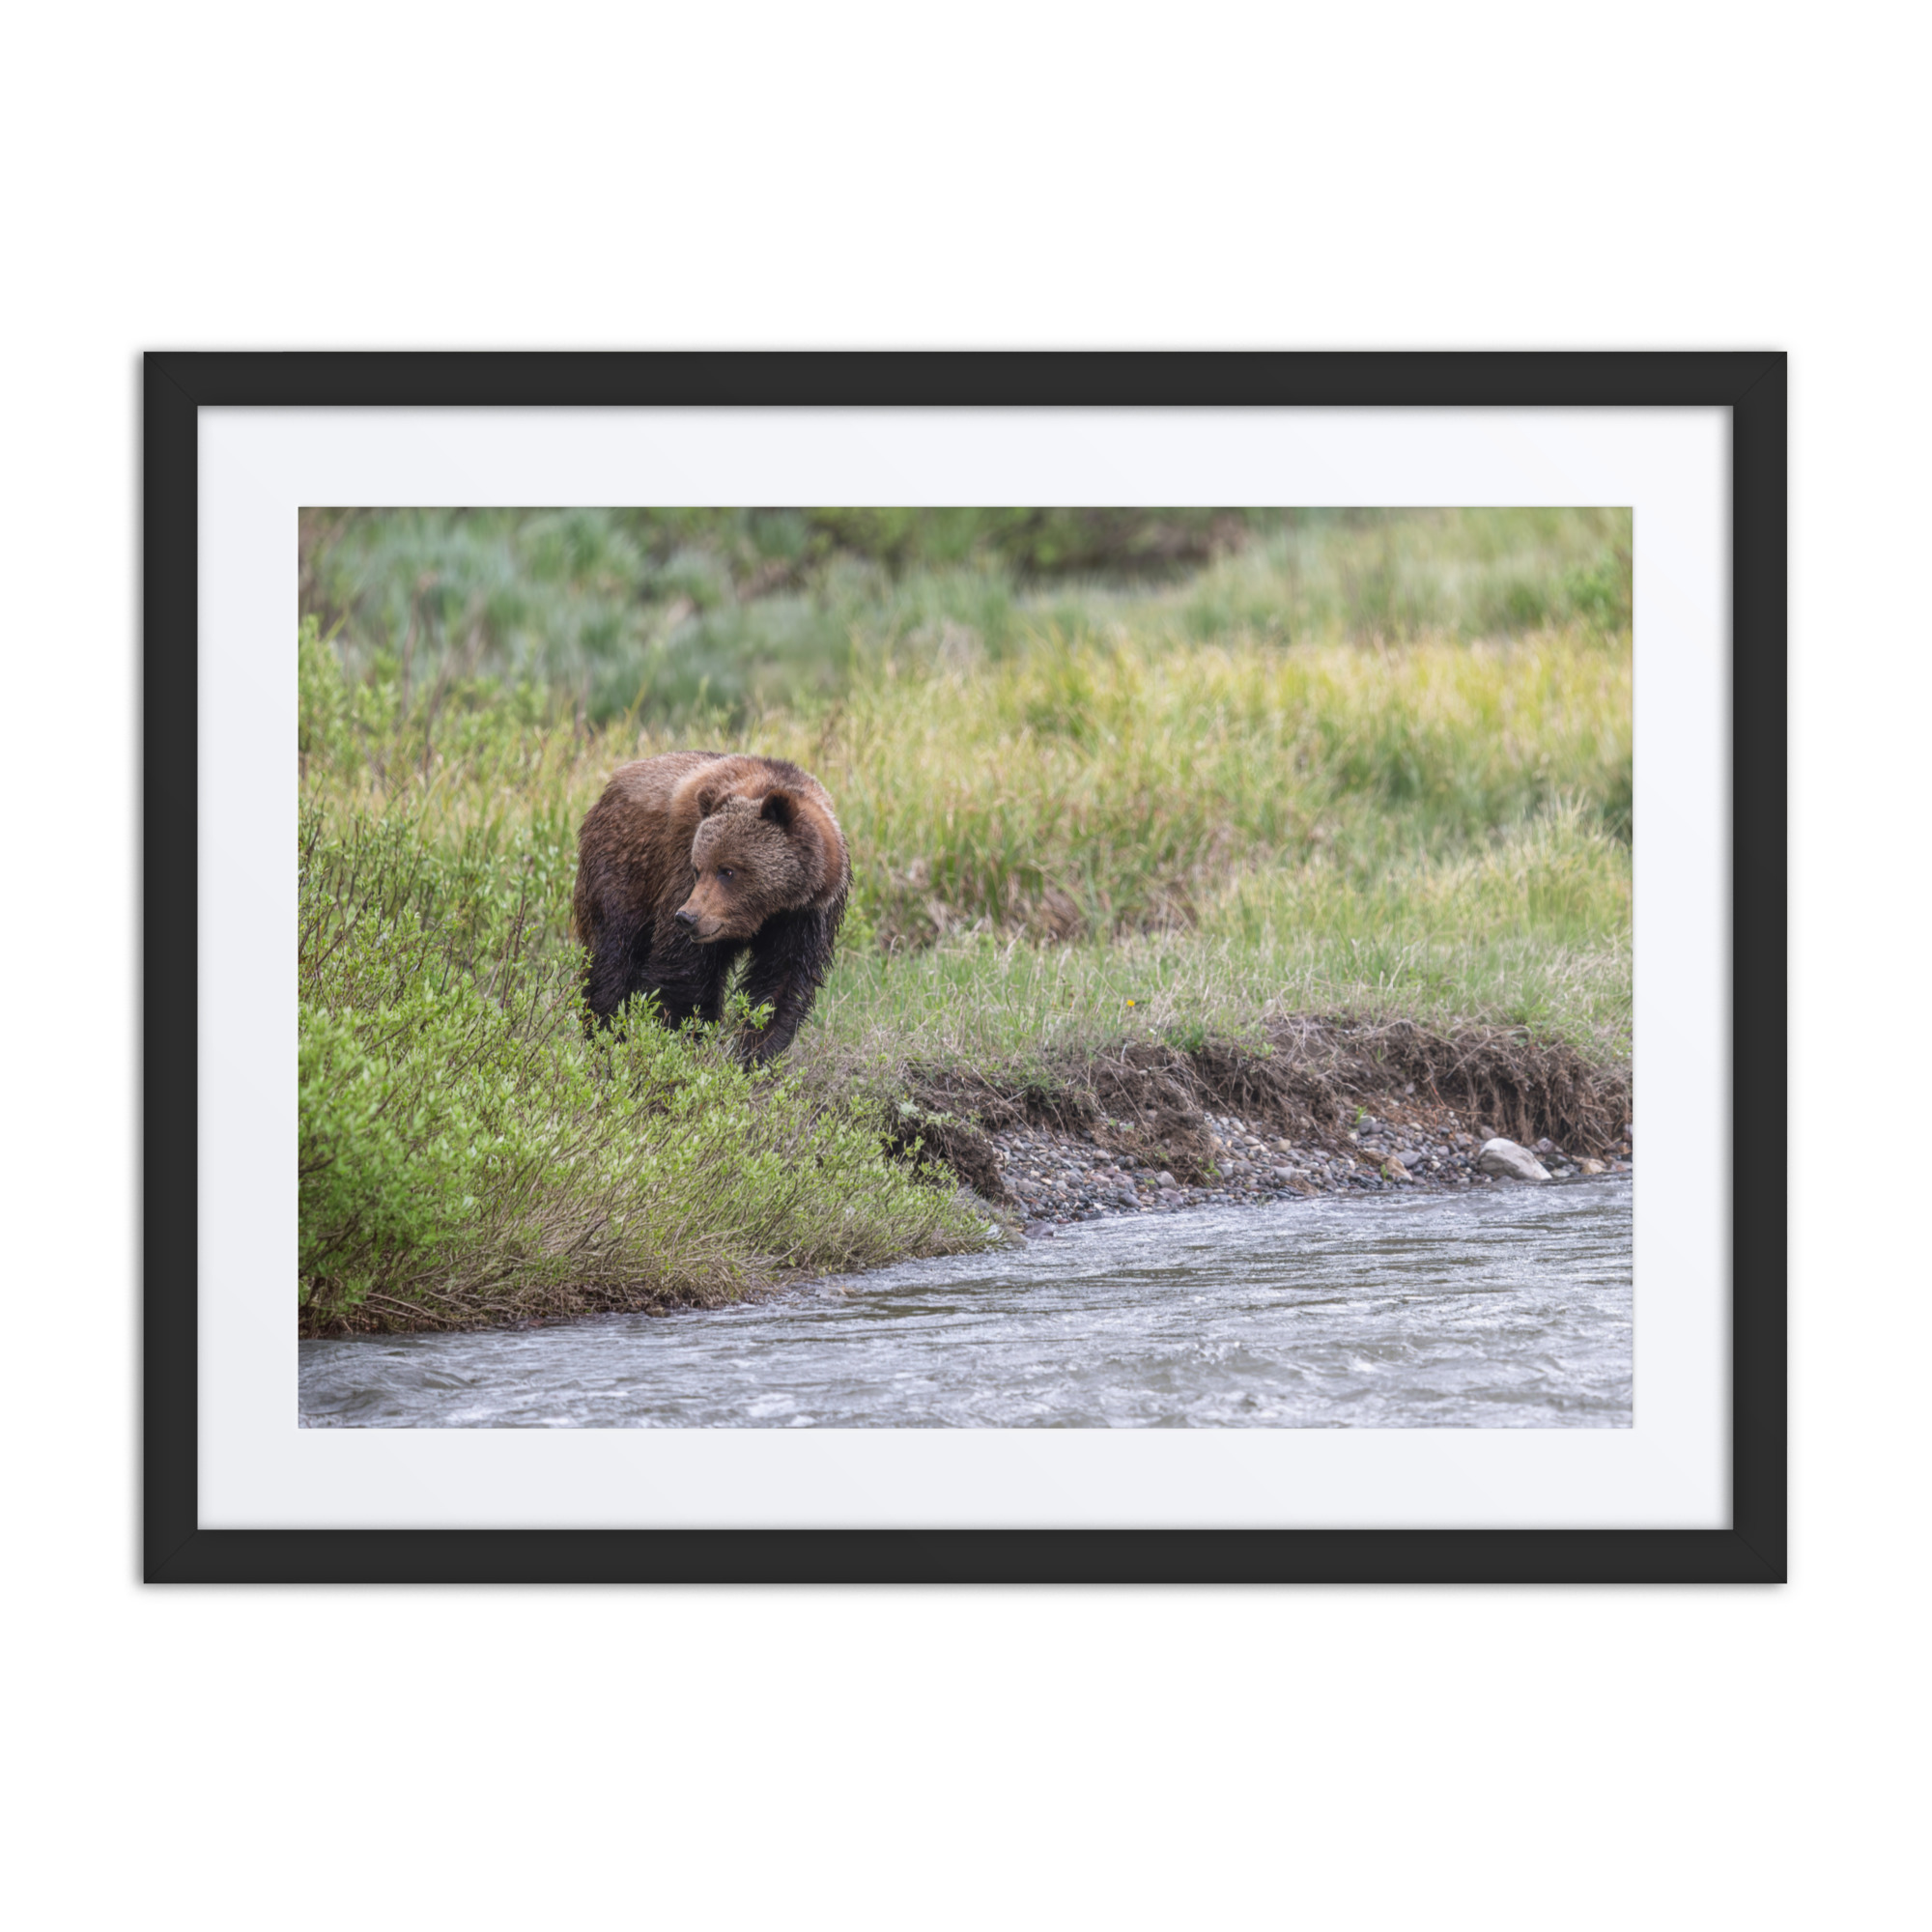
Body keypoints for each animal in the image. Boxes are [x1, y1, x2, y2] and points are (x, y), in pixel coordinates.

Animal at [571, 751, 851, 1061]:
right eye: (698, 868)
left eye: (728, 870)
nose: (687, 918)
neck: (769, 910)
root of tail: (612, 784)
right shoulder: (681, 873)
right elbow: (685, 972)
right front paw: (680, 1040)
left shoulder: (806, 916)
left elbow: (781, 985)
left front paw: (754, 1054)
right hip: (625, 868)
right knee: (614, 957)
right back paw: (606, 1037)